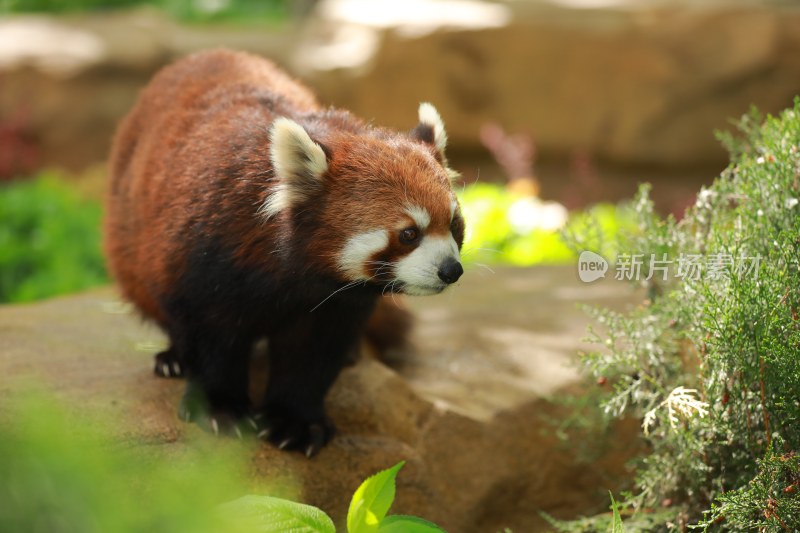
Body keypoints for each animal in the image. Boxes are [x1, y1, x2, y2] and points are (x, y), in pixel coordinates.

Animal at [109, 50, 466, 456]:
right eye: (409, 234)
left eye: (455, 225)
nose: (451, 270)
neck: (291, 273)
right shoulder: (202, 254)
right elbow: (208, 335)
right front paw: (220, 407)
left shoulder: (334, 303)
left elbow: (311, 354)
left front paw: (295, 421)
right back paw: (171, 359)